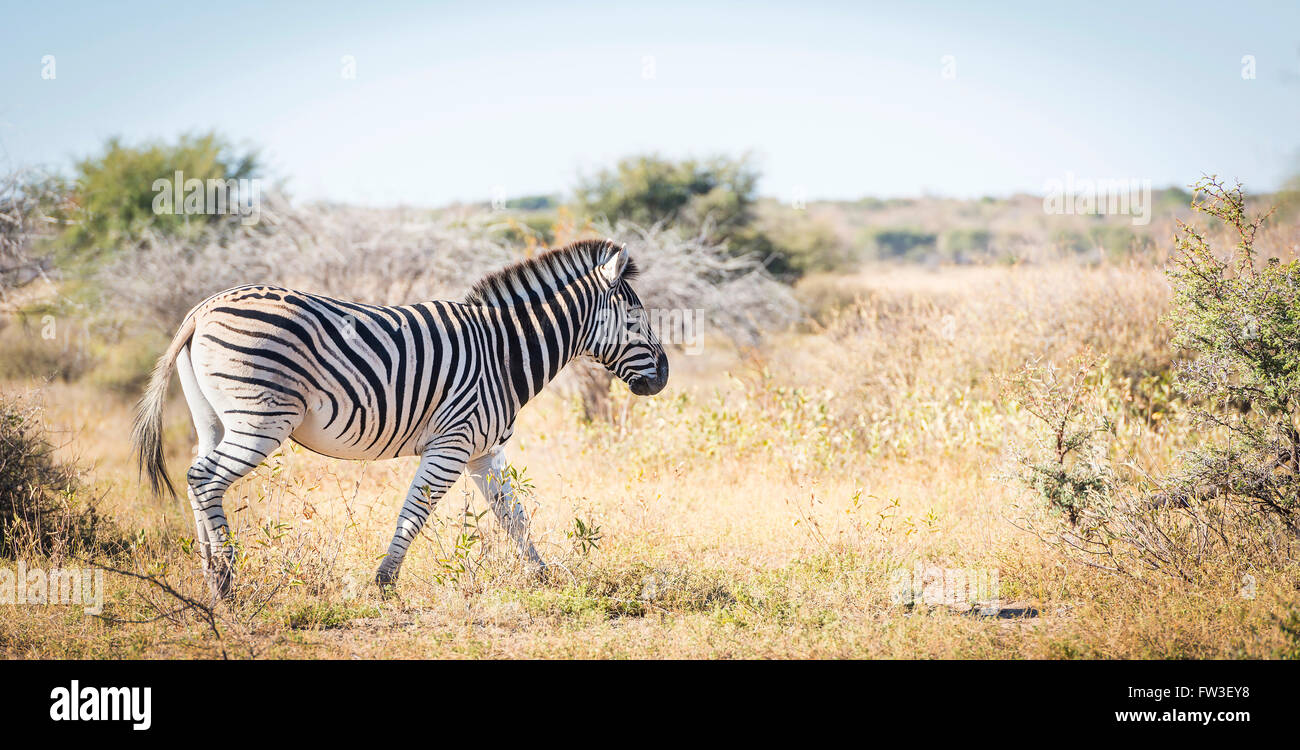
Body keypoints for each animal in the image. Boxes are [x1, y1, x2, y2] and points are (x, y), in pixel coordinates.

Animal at [131, 239, 670, 597]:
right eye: (636, 320)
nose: (663, 377)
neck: (501, 352)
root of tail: (203, 309)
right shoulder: (453, 442)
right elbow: (416, 510)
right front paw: (385, 580)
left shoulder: (484, 451)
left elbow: (514, 517)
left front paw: (543, 575)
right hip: (262, 420)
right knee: (205, 479)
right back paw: (226, 583)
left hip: (215, 421)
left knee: (197, 478)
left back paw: (209, 573)